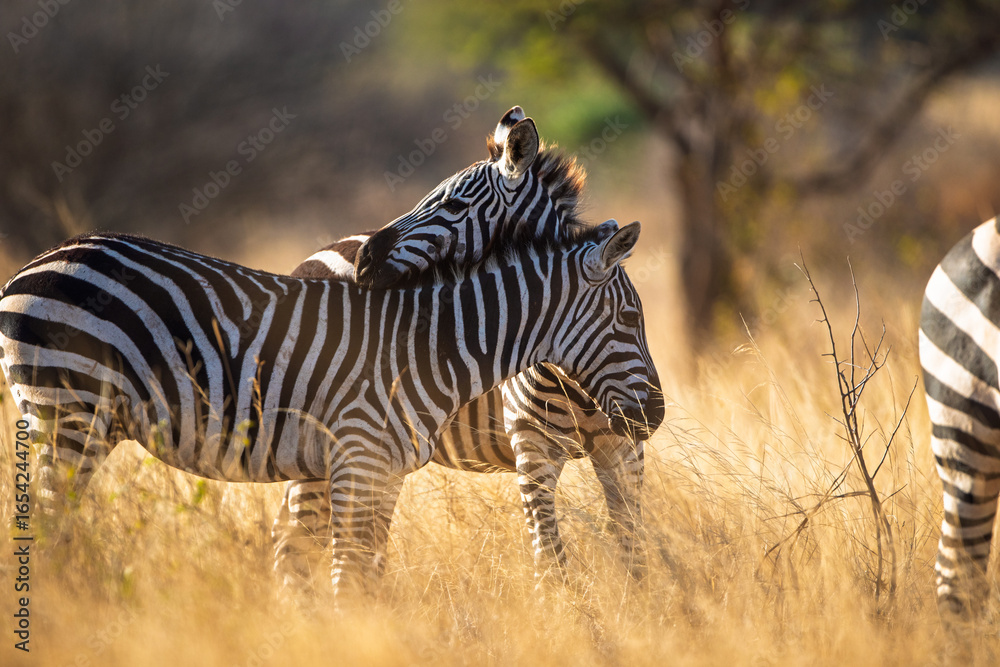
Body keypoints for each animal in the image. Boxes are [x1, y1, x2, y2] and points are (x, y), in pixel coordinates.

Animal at [0, 222, 662, 597]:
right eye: (631, 317)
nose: (654, 416)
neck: (430, 345)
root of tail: (31, 266)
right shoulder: (360, 458)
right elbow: (350, 574)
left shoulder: (382, 469)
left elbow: (364, 574)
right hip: (68, 414)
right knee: (47, 529)